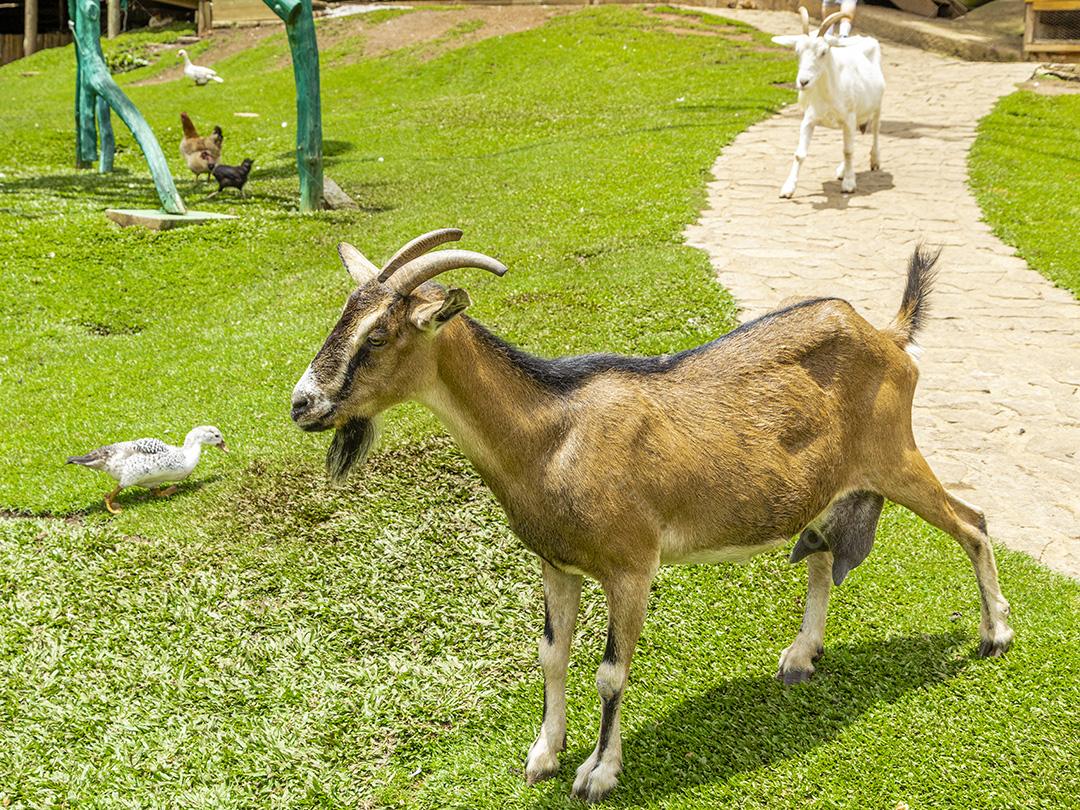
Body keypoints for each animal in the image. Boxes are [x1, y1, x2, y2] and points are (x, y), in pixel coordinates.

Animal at [290, 230, 1013, 803]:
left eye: (378, 335)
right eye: (340, 320)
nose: (302, 403)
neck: (552, 435)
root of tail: (888, 334)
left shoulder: (631, 567)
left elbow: (610, 671)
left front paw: (597, 775)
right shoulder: (556, 564)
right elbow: (551, 655)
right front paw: (543, 754)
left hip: (896, 459)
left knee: (973, 522)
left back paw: (995, 633)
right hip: (829, 491)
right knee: (827, 556)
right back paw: (800, 657)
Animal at [772, 7, 885, 198]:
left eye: (823, 52)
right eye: (797, 51)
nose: (803, 82)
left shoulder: (849, 118)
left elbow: (848, 150)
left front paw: (849, 184)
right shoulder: (809, 119)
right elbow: (800, 154)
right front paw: (788, 188)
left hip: (876, 106)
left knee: (875, 130)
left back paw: (874, 161)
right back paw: (842, 171)